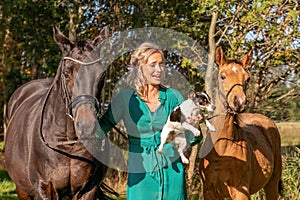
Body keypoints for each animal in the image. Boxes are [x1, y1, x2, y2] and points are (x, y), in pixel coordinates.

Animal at [4, 25, 110, 199]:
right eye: (66, 73)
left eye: (101, 75)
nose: (86, 125)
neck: (68, 143)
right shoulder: (44, 188)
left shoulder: (89, 189)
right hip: (22, 189)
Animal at [200, 46, 282, 200]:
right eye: (222, 76)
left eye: (247, 78)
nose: (239, 102)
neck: (222, 148)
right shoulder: (209, 192)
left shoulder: (240, 191)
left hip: (272, 184)